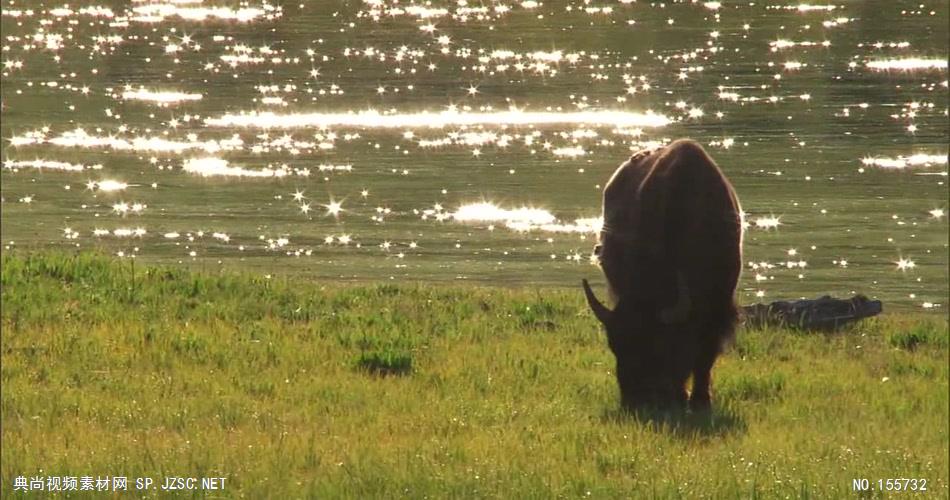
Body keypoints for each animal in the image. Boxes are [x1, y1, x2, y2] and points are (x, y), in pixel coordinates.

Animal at [584, 139, 748, 412]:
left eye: (657, 347)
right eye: (613, 345)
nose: (633, 399)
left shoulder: (719, 305)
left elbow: (706, 355)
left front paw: (701, 400)